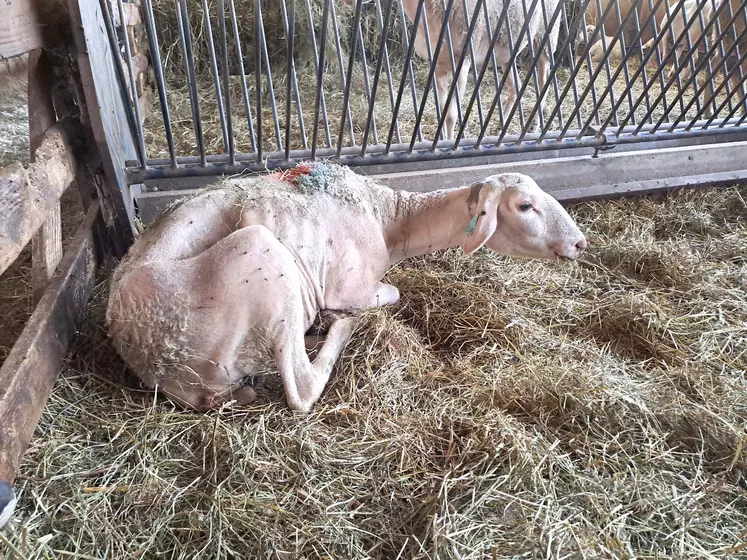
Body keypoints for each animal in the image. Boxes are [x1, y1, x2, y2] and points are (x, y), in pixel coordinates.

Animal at [108, 162, 588, 412]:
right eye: (524, 206)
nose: (581, 243)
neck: (390, 221)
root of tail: (154, 366)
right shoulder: (352, 286)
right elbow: (391, 292)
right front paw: (343, 315)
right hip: (261, 257)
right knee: (302, 389)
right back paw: (339, 329)